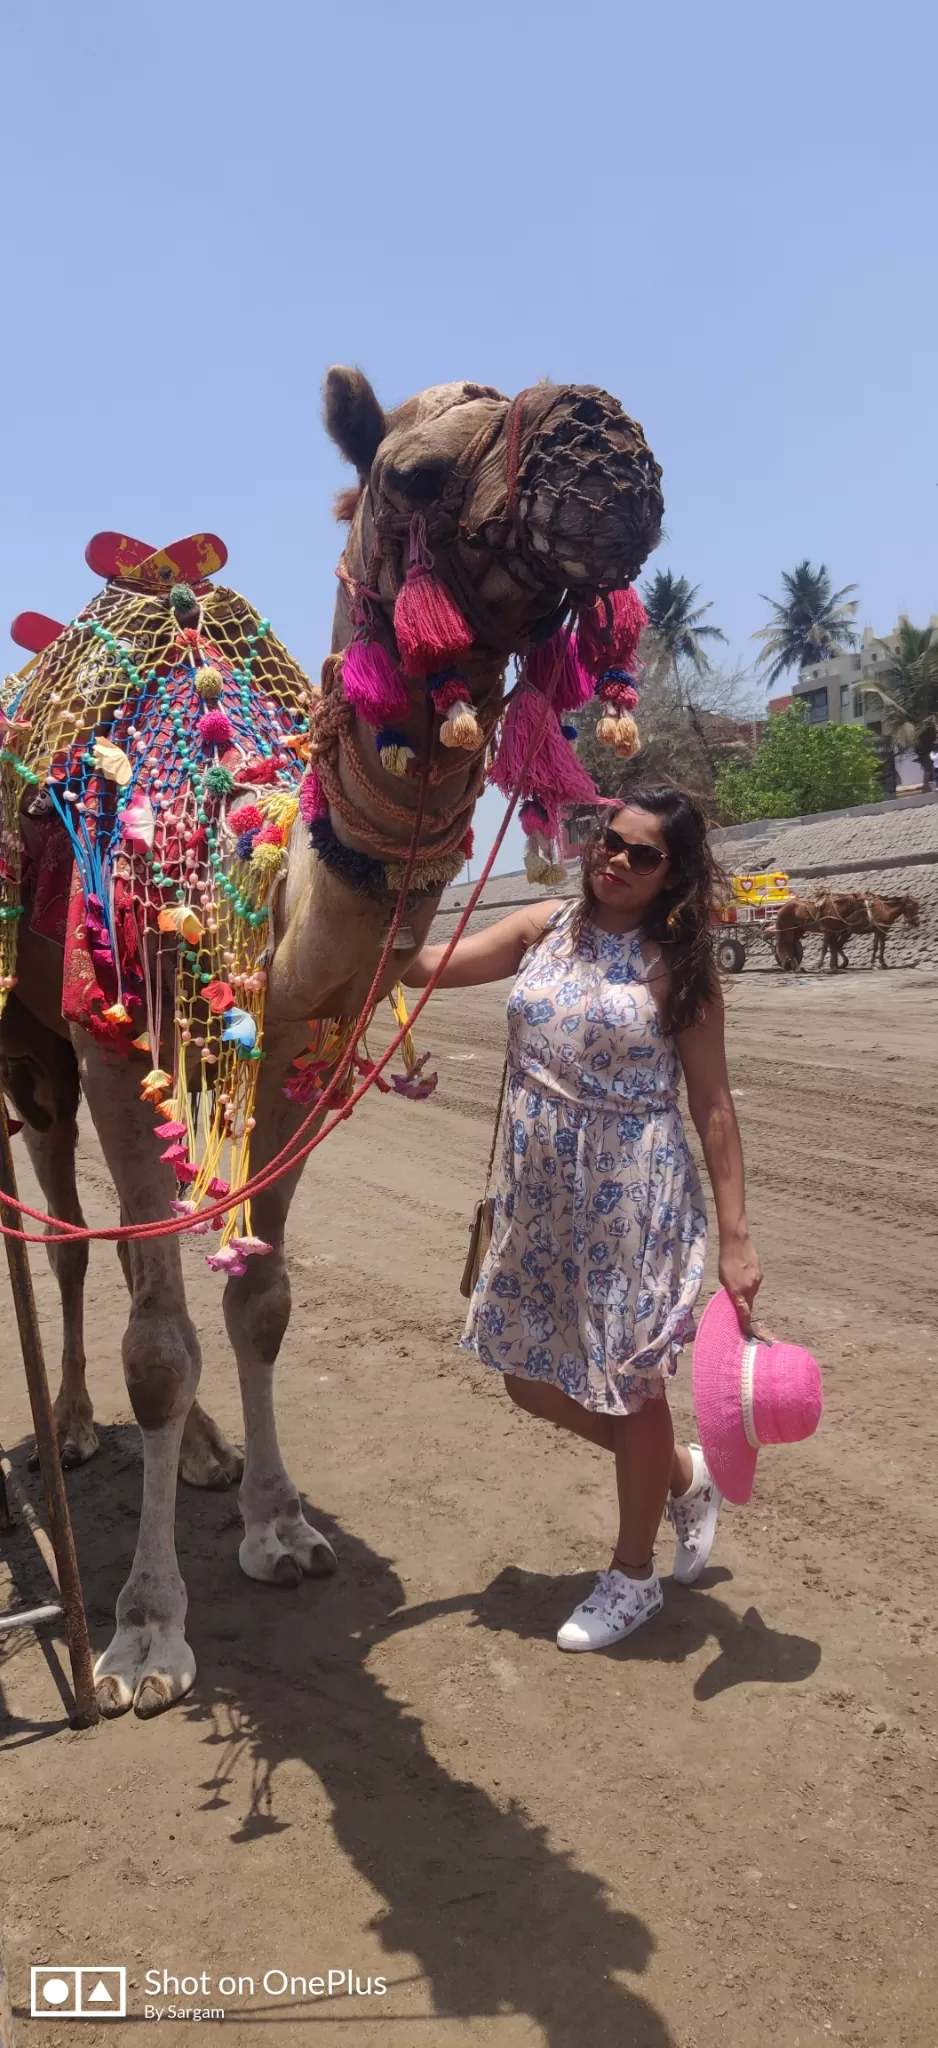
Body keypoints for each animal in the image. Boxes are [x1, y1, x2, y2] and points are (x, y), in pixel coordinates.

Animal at [0, 368, 663, 1712]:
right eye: (413, 472)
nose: (607, 446)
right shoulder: (118, 1044)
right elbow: (159, 1343)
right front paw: (144, 1632)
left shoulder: (294, 1057)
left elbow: (257, 1300)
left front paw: (278, 1524)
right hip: (36, 1046)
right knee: (73, 1244)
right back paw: (76, 1427)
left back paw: (202, 1455)